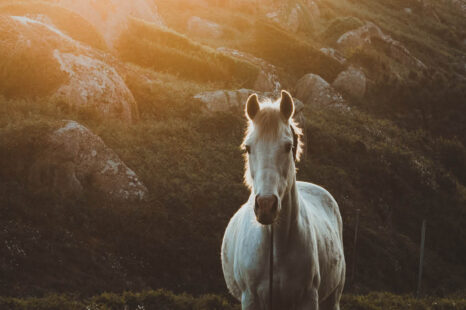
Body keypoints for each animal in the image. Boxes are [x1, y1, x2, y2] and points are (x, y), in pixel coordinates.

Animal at [220, 91, 344, 308]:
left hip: (333, 298)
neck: (275, 248)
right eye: (248, 147)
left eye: (288, 146)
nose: (266, 205)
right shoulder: (250, 298)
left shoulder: (308, 298)